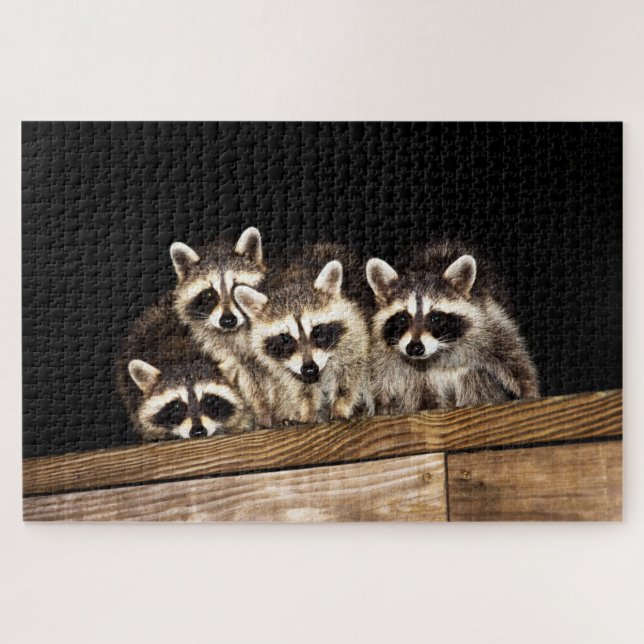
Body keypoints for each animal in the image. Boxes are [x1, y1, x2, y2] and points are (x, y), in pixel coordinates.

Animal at [234, 244, 373, 425]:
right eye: (285, 338)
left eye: (317, 330)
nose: (309, 368)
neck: (296, 278)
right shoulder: (286, 366)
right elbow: (301, 387)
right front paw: (308, 412)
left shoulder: (355, 329)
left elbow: (350, 372)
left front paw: (341, 406)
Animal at [366, 242, 539, 414]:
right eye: (402, 318)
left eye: (435, 318)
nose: (414, 348)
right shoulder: (386, 353)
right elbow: (384, 376)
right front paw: (382, 404)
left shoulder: (486, 319)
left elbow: (511, 353)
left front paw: (528, 389)